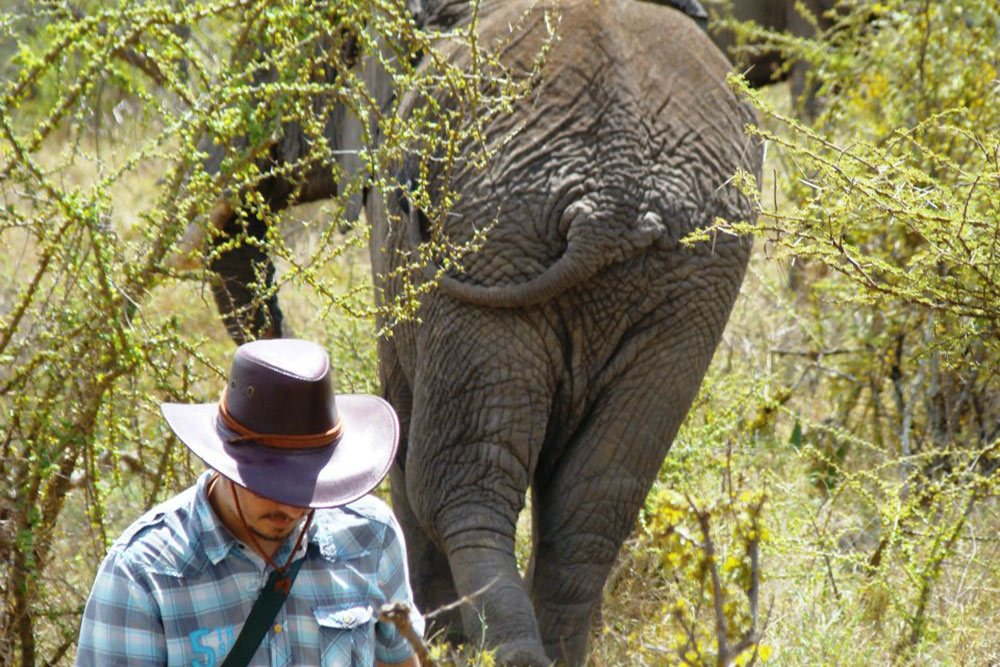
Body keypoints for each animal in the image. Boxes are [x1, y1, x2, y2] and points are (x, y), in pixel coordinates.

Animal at [199, 0, 760, 664]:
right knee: (594, 500)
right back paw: (548, 650)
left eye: (299, 65)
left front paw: (434, 630)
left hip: (498, 235)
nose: (281, 336)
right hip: (678, 278)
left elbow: (399, 418)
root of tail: (609, 209)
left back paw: (477, 643)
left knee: (461, 481)